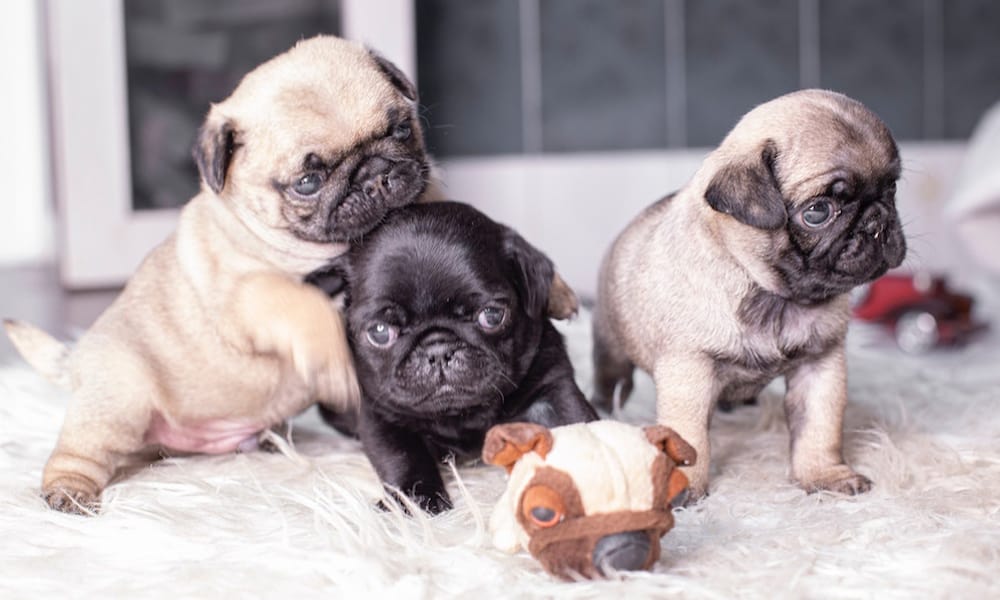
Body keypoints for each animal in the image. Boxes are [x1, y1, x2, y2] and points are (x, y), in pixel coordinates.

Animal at [4, 36, 434, 516]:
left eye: (401, 130)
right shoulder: (250, 293)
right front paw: (337, 363)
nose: (376, 176)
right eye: (307, 181)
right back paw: (69, 492)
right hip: (119, 400)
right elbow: (308, 307)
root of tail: (76, 360)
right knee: (79, 452)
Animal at [592, 89, 908, 500]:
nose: (877, 222)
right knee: (611, 379)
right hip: (611, 348)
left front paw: (824, 475)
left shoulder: (820, 364)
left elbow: (819, 427)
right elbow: (690, 438)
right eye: (818, 211)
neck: (775, 296)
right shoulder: (689, 370)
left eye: (892, 188)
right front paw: (686, 491)